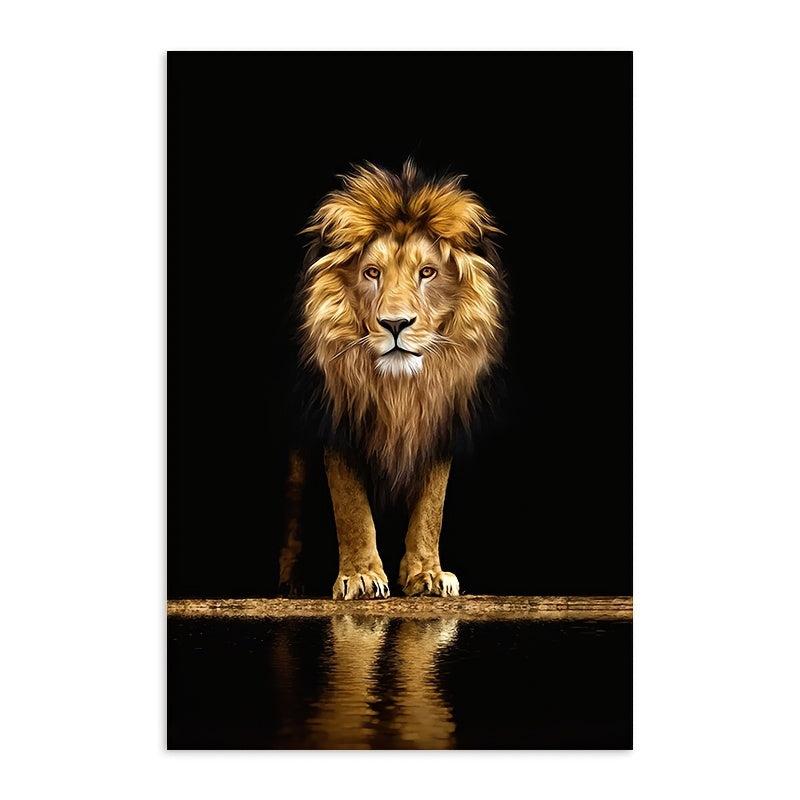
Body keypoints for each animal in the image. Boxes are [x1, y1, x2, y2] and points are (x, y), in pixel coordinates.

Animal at [279, 160, 507, 599]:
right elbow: (350, 507)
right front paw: (361, 576)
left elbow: (432, 507)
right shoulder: (339, 423)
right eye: (372, 273)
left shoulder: (438, 423)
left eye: (428, 273)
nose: (396, 324)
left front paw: (427, 573)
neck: (399, 389)